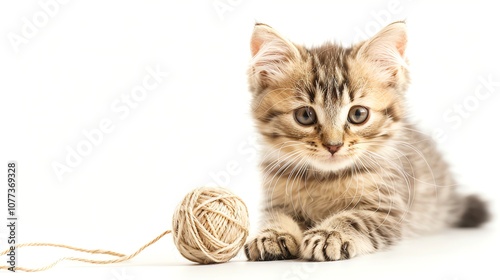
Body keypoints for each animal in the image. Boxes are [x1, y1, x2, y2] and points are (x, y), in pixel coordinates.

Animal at [244, 20, 490, 262]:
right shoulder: (275, 200)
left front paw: (330, 233)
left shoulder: (387, 209)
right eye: (305, 115)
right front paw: (273, 233)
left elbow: (354, 218)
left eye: (358, 114)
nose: (333, 145)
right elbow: (276, 216)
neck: (324, 178)